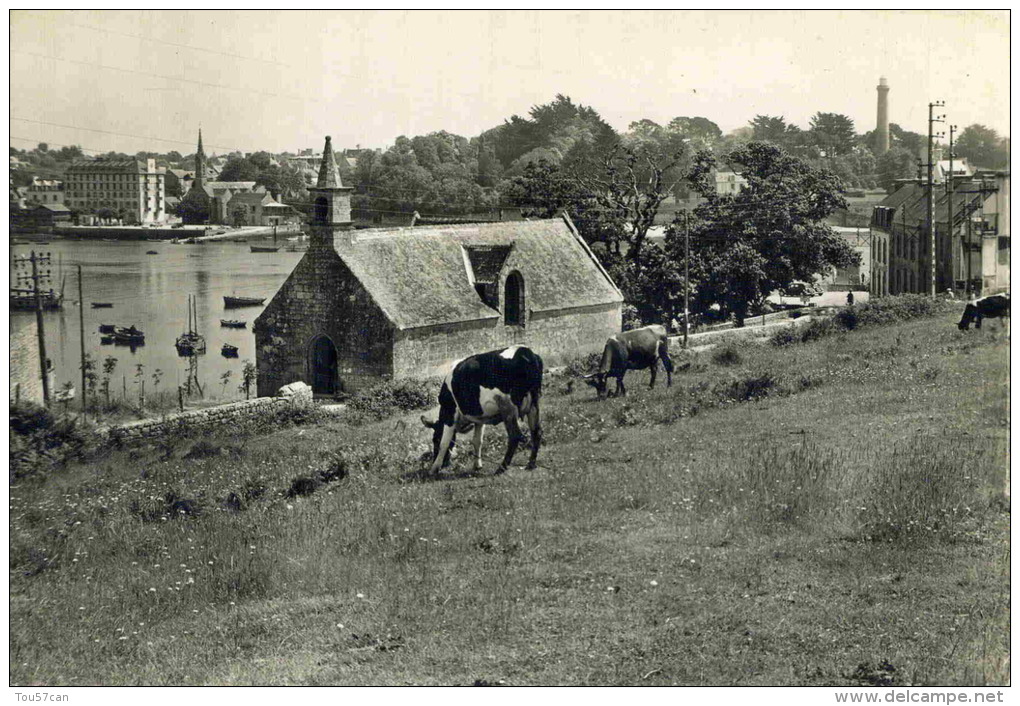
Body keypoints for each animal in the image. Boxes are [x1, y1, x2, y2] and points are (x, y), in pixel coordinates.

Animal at [418, 344, 542, 477]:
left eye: (434, 439)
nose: (445, 464)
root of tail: (524, 350)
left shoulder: (449, 412)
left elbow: (444, 443)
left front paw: (434, 469)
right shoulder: (479, 418)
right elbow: (477, 441)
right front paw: (477, 465)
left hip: (507, 407)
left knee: (515, 436)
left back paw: (501, 468)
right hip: (533, 404)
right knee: (536, 432)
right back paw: (531, 464)